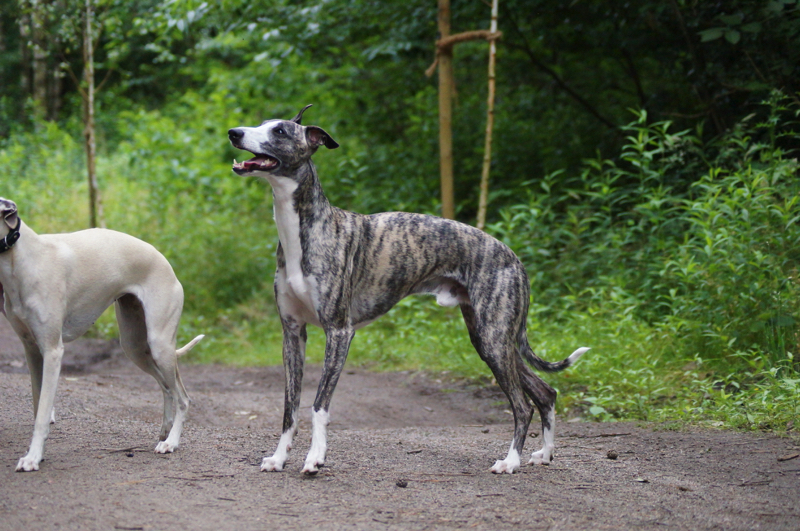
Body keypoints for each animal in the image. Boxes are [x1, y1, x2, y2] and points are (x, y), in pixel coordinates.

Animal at [0, 198, 203, 471]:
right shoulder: (31, 350)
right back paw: (165, 430)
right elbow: (37, 405)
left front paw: (32, 458)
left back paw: (171, 442)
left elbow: (42, 413)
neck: (24, 259)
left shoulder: (53, 351)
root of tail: (166, 264)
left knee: (183, 397)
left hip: (160, 345)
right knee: (166, 387)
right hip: (134, 346)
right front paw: (37, 454)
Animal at [228, 105, 588, 474]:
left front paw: (315, 458)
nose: (234, 133)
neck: (304, 231)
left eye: (280, 131)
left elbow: (318, 405)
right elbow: (290, 406)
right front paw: (279, 457)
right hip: (492, 339)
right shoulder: (292, 332)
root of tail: (514, 258)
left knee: (522, 404)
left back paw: (510, 461)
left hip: (494, 338)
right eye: (260, 123)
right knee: (545, 392)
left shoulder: (339, 332)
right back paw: (544, 453)